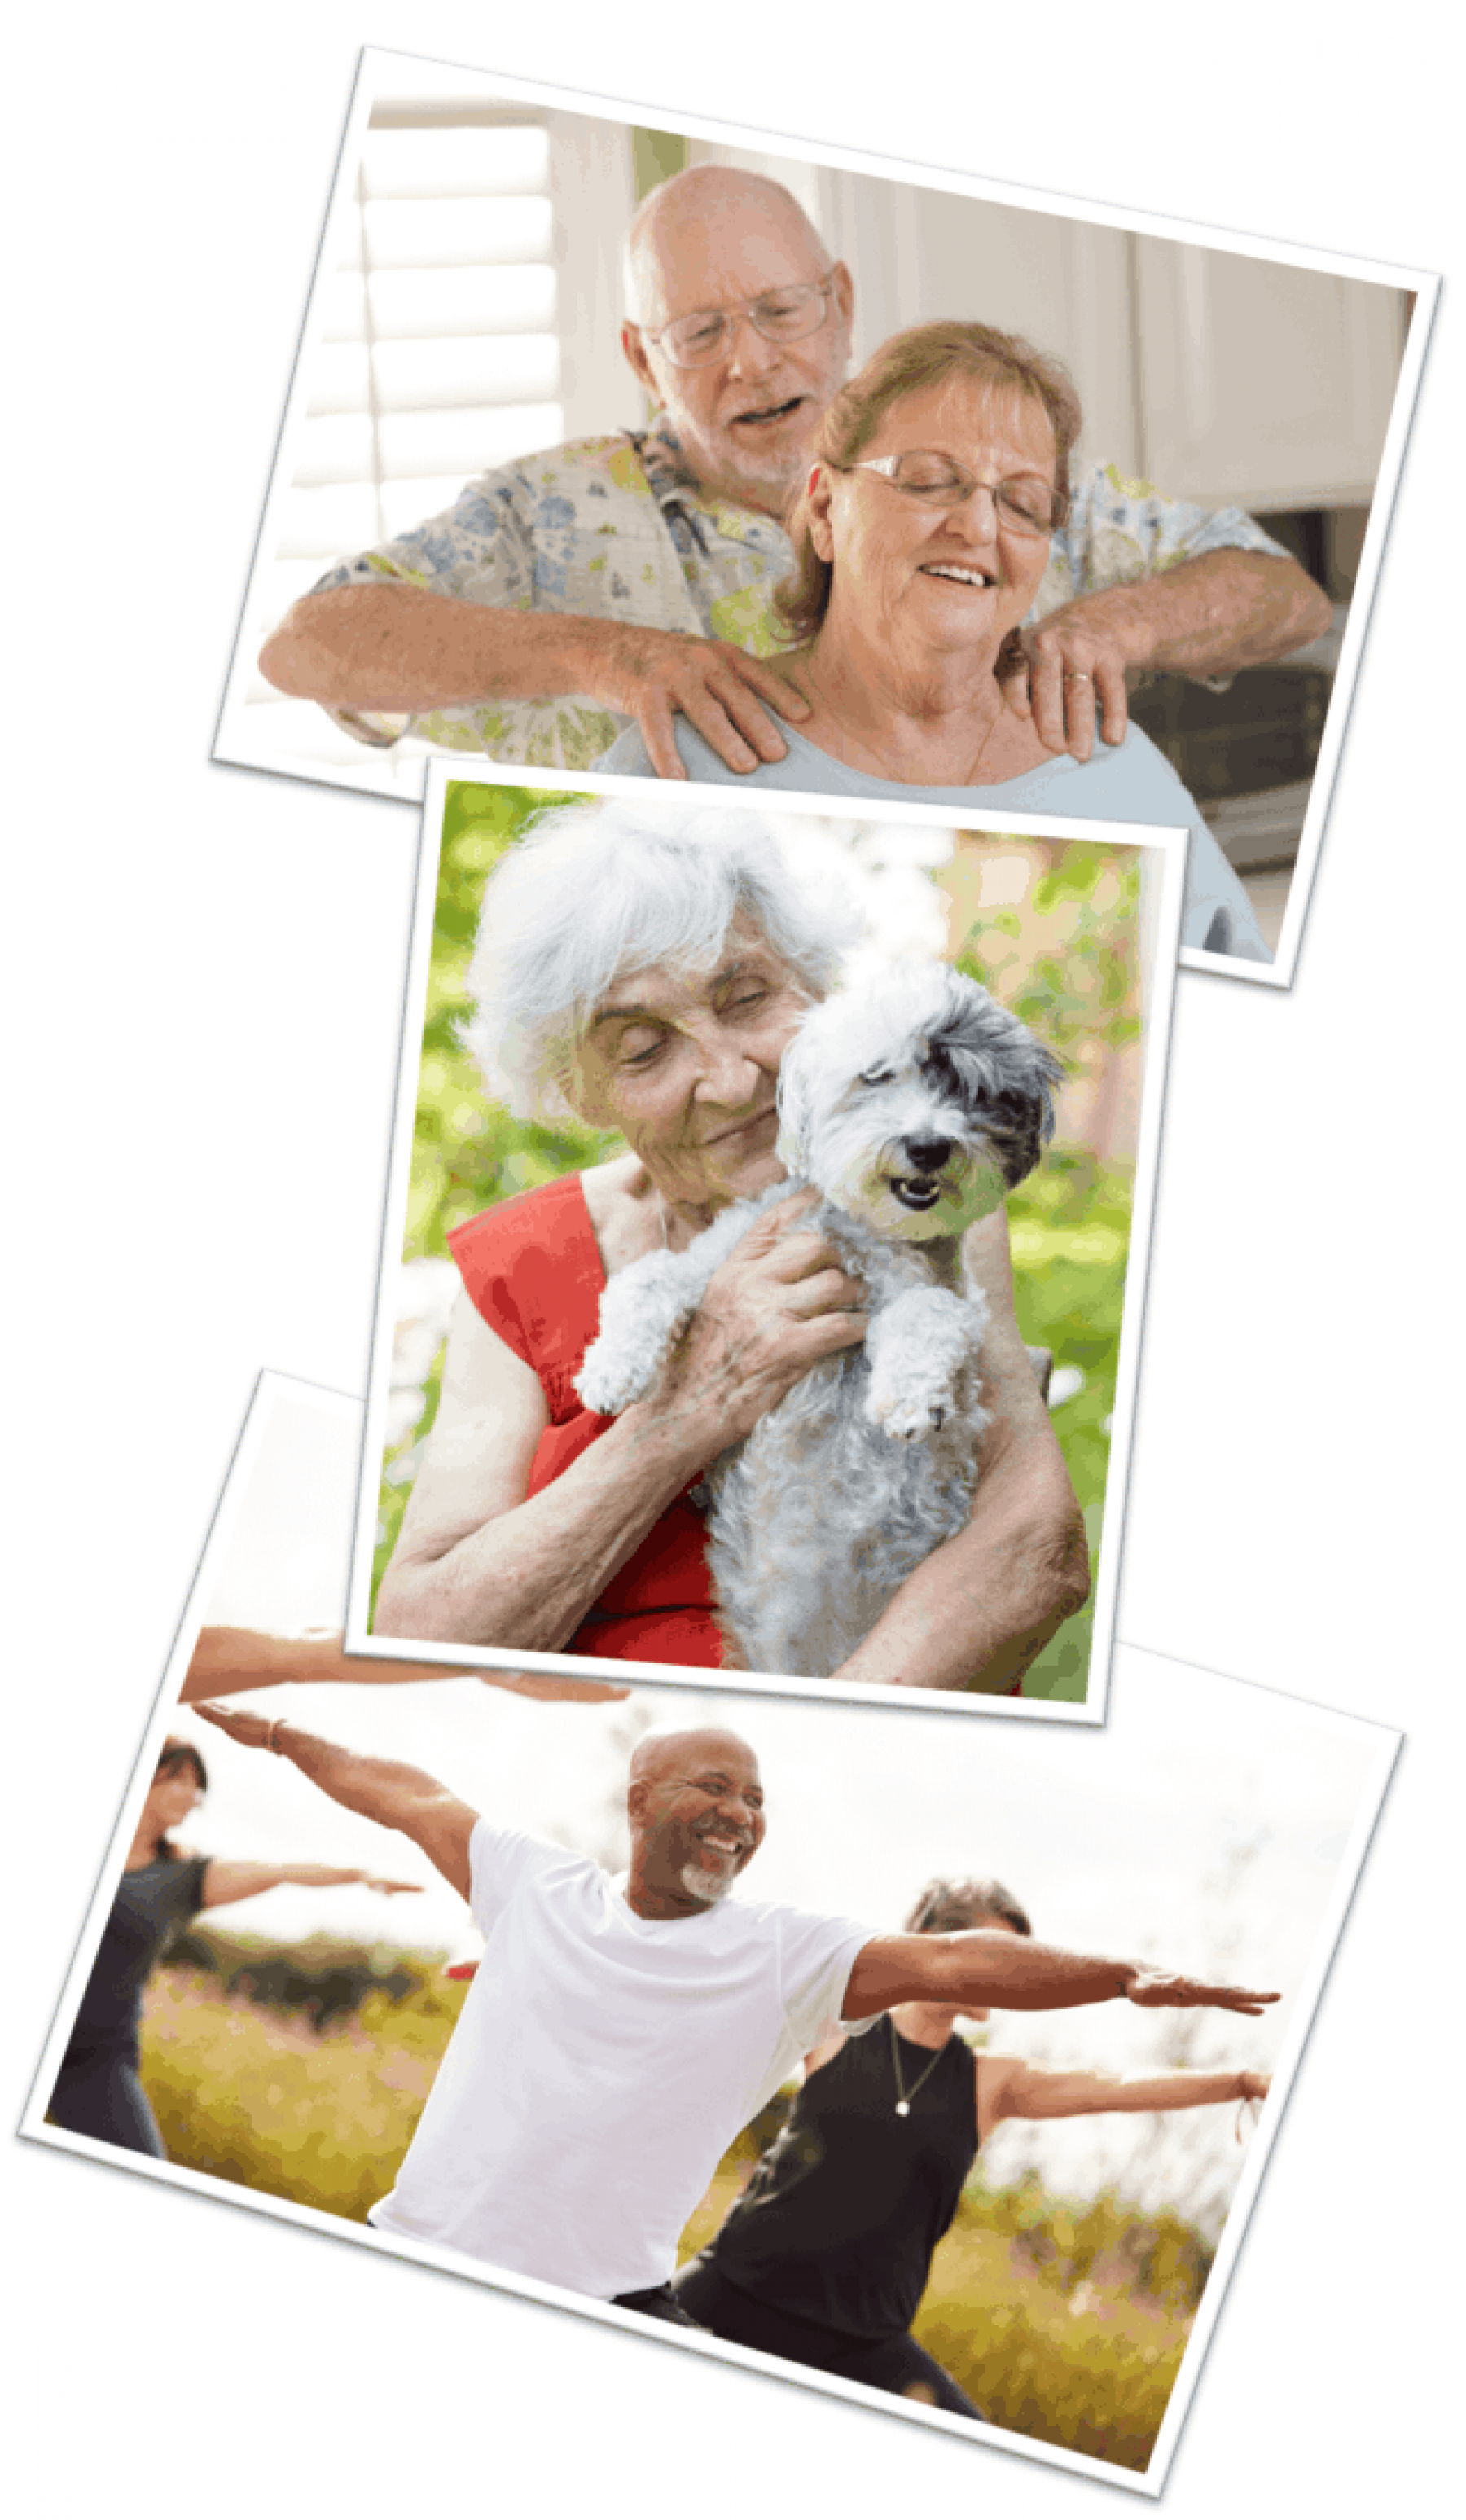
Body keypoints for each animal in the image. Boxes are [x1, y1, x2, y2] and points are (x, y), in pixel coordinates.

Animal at [577, 952, 1068, 1683]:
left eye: (967, 1088)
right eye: (877, 1076)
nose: (927, 1146)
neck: (856, 1232)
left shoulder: (940, 1295)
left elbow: (927, 1314)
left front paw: (907, 1400)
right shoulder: (723, 1259)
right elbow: (648, 1280)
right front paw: (611, 1371)